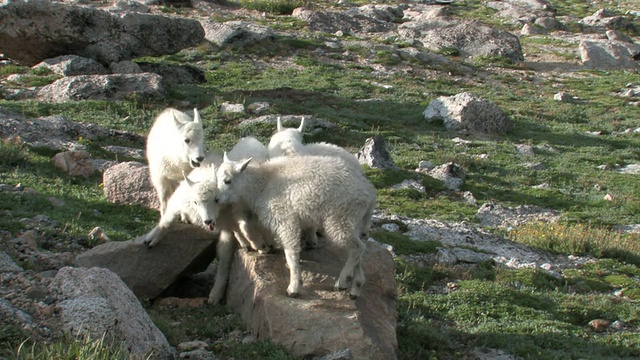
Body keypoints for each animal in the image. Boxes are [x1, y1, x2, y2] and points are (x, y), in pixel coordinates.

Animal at [216, 155, 376, 298]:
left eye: (227, 181)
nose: (216, 199)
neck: (262, 184)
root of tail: (369, 194)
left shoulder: (286, 220)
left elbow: (291, 253)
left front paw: (293, 287)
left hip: (339, 218)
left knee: (357, 248)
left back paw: (342, 281)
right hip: (354, 221)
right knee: (360, 251)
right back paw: (356, 286)